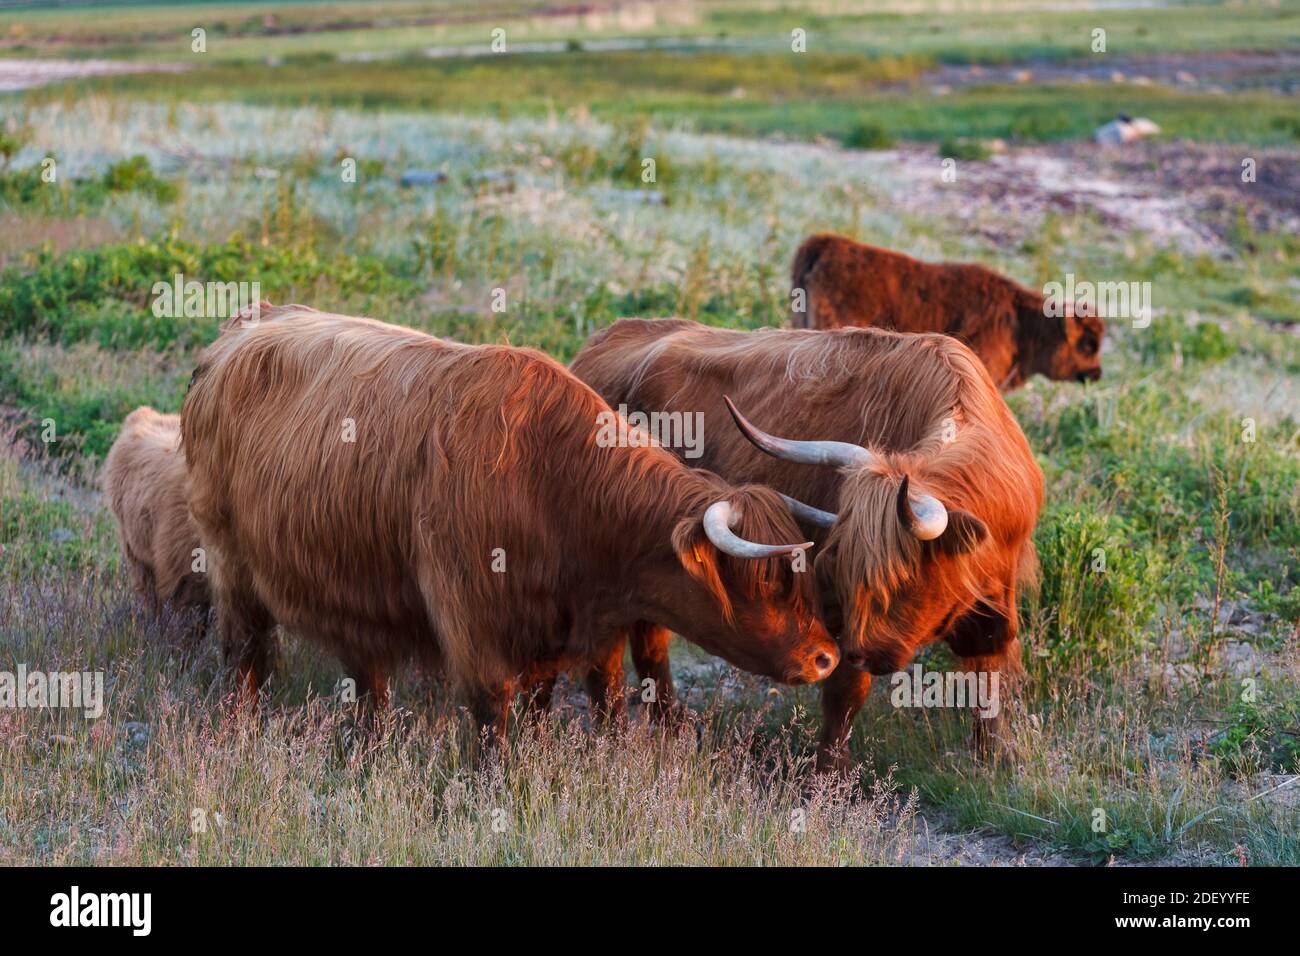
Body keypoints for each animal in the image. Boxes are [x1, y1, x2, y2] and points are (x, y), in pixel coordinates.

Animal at [180, 306, 839, 736]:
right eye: (762, 582)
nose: (825, 658)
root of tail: (248, 323)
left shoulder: (569, 631)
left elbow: (575, 704)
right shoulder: (472, 618)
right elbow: (494, 715)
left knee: (366, 671)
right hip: (231, 564)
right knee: (244, 654)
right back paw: (240, 731)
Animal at [571, 318, 1044, 771]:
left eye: (903, 577)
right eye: (844, 569)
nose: (864, 653)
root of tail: (602, 341)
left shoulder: (993, 608)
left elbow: (986, 682)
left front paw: (992, 759)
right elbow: (845, 693)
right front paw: (829, 774)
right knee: (638, 643)